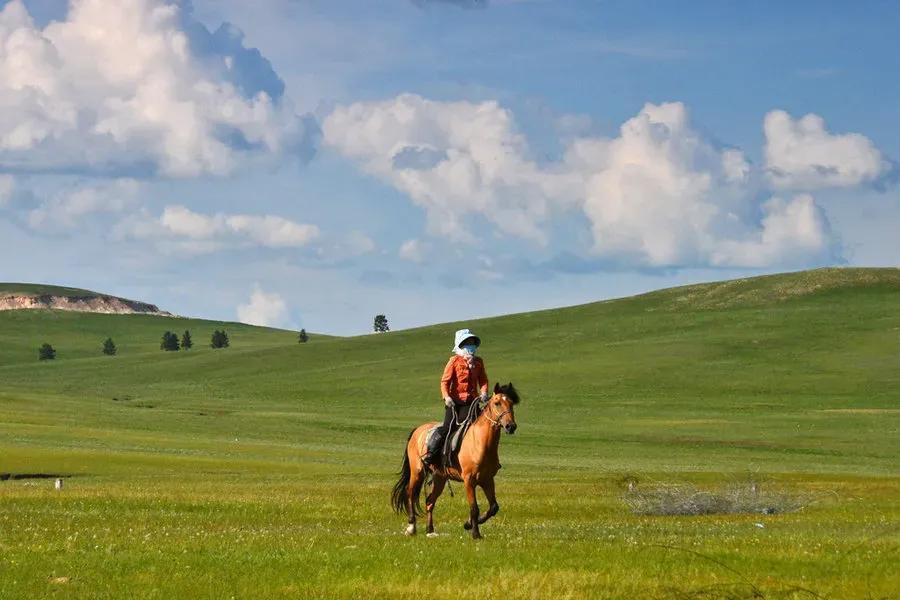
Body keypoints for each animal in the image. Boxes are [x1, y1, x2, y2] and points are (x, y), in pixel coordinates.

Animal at [388, 382, 520, 540]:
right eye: (497, 403)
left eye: (511, 403)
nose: (511, 426)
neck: (480, 443)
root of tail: (417, 430)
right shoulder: (469, 480)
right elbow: (474, 507)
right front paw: (475, 533)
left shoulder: (487, 480)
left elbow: (493, 507)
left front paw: (469, 524)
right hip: (417, 472)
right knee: (410, 493)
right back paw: (411, 527)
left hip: (440, 478)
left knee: (429, 501)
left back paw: (430, 530)